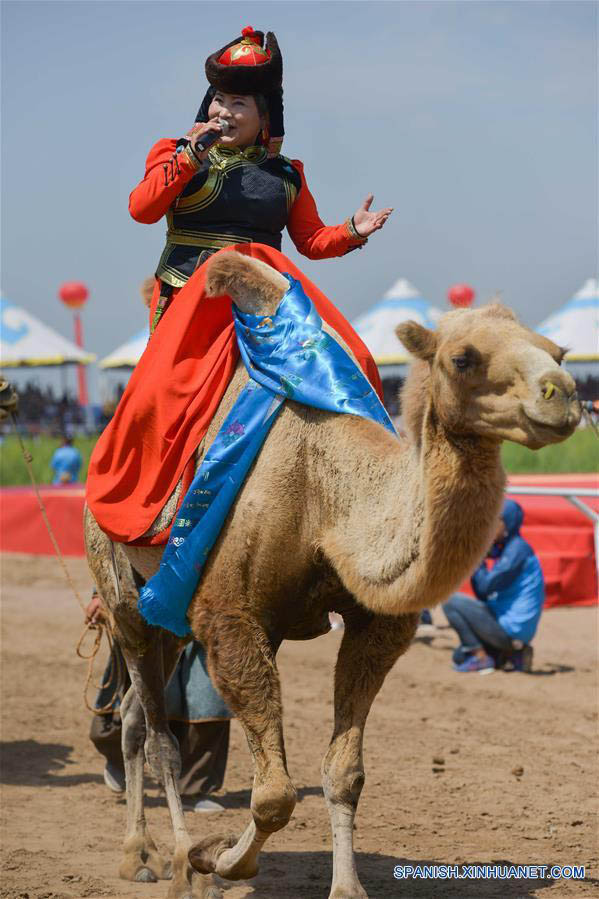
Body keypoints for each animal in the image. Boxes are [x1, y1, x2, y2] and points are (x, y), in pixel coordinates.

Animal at [85, 255, 580, 899]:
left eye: (559, 349)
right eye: (462, 358)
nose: (563, 394)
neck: (326, 492)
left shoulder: (372, 624)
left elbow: (344, 773)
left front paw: (346, 887)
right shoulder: (229, 615)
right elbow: (274, 794)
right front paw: (215, 861)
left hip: (170, 616)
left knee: (133, 717)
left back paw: (140, 852)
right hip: (123, 595)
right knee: (158, 735)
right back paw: (166, 861)